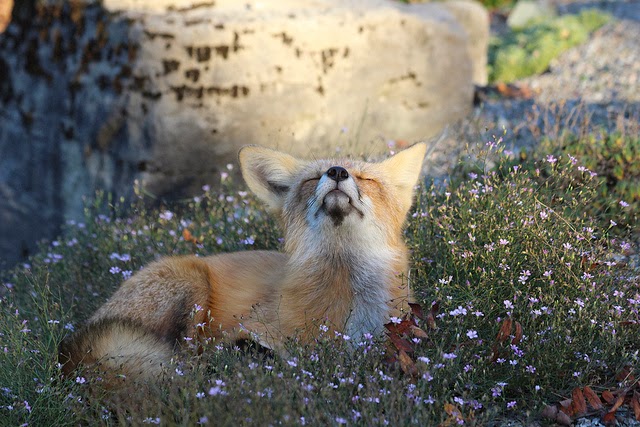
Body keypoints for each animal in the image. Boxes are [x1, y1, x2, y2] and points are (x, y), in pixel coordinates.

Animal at [58, 141, 428, 384]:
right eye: (314, 178)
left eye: (366, 179)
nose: (337, 172)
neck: (347, 296)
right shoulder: (254, 326)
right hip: (192, 285)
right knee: (185, 361)